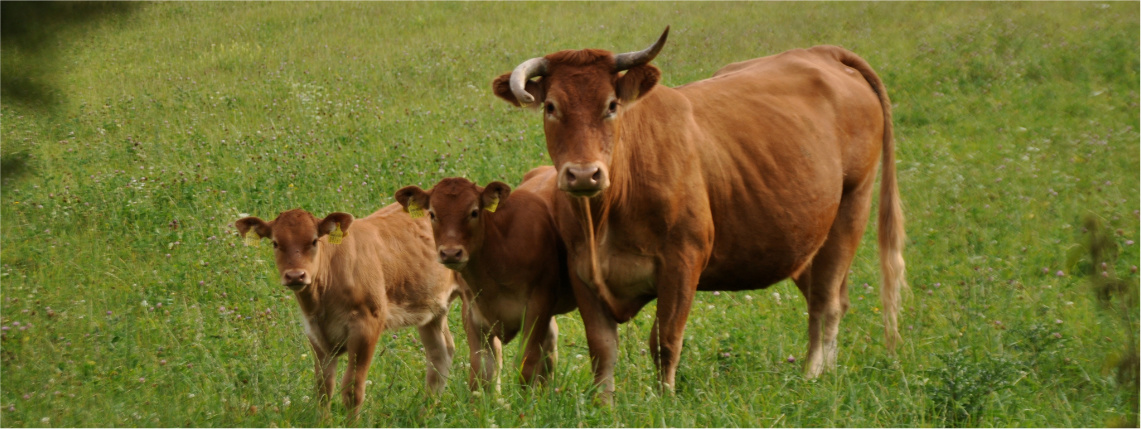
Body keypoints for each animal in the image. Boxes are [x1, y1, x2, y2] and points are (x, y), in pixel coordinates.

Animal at [233, 206, 460, 417]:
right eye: (275, 243)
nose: (296, 276)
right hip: (432, 308)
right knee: (440, 353)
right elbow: (323, 389)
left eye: (314, 241)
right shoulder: (315, 333)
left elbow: (352, 390)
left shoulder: (366, 327)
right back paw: (425, 413)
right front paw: (323, 422)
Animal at [392, 165, 575, 390]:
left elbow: (527, 365)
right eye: (432, 214)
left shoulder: (537, 307)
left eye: (474, 212)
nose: (451, 253)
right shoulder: (473, 311)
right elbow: (482, 371)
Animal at [490, 27, 908, 394]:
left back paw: (813, 377)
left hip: (853, 206)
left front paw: (665, 402)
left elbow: (665, 341)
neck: (606, 216)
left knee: (826, 304)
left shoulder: (683, 261)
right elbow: (602, 350)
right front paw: (603, 407)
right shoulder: (583, 270)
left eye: (611, 105)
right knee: (831, 295)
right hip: (804, 235)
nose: (582, 174)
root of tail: (822, 52)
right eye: (551, 106)